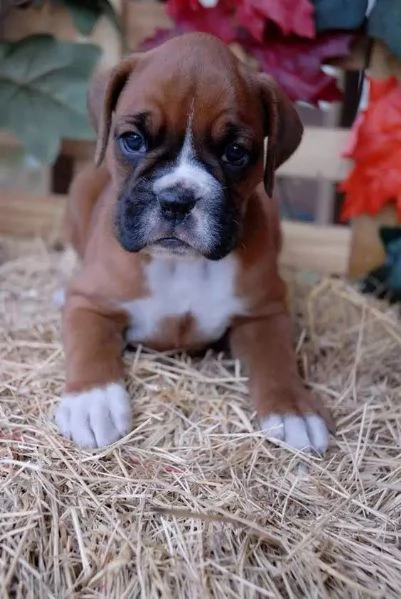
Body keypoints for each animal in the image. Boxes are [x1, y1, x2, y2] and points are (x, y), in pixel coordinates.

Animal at [54, 32, 332, 452]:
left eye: (235, 152)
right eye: (132, 140)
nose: (177, 199)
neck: (181, 265)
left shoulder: (264, 313)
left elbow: (276, 358)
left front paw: (292, 409)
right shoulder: (90, 302)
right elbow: (90, 344)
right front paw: (93, 401)